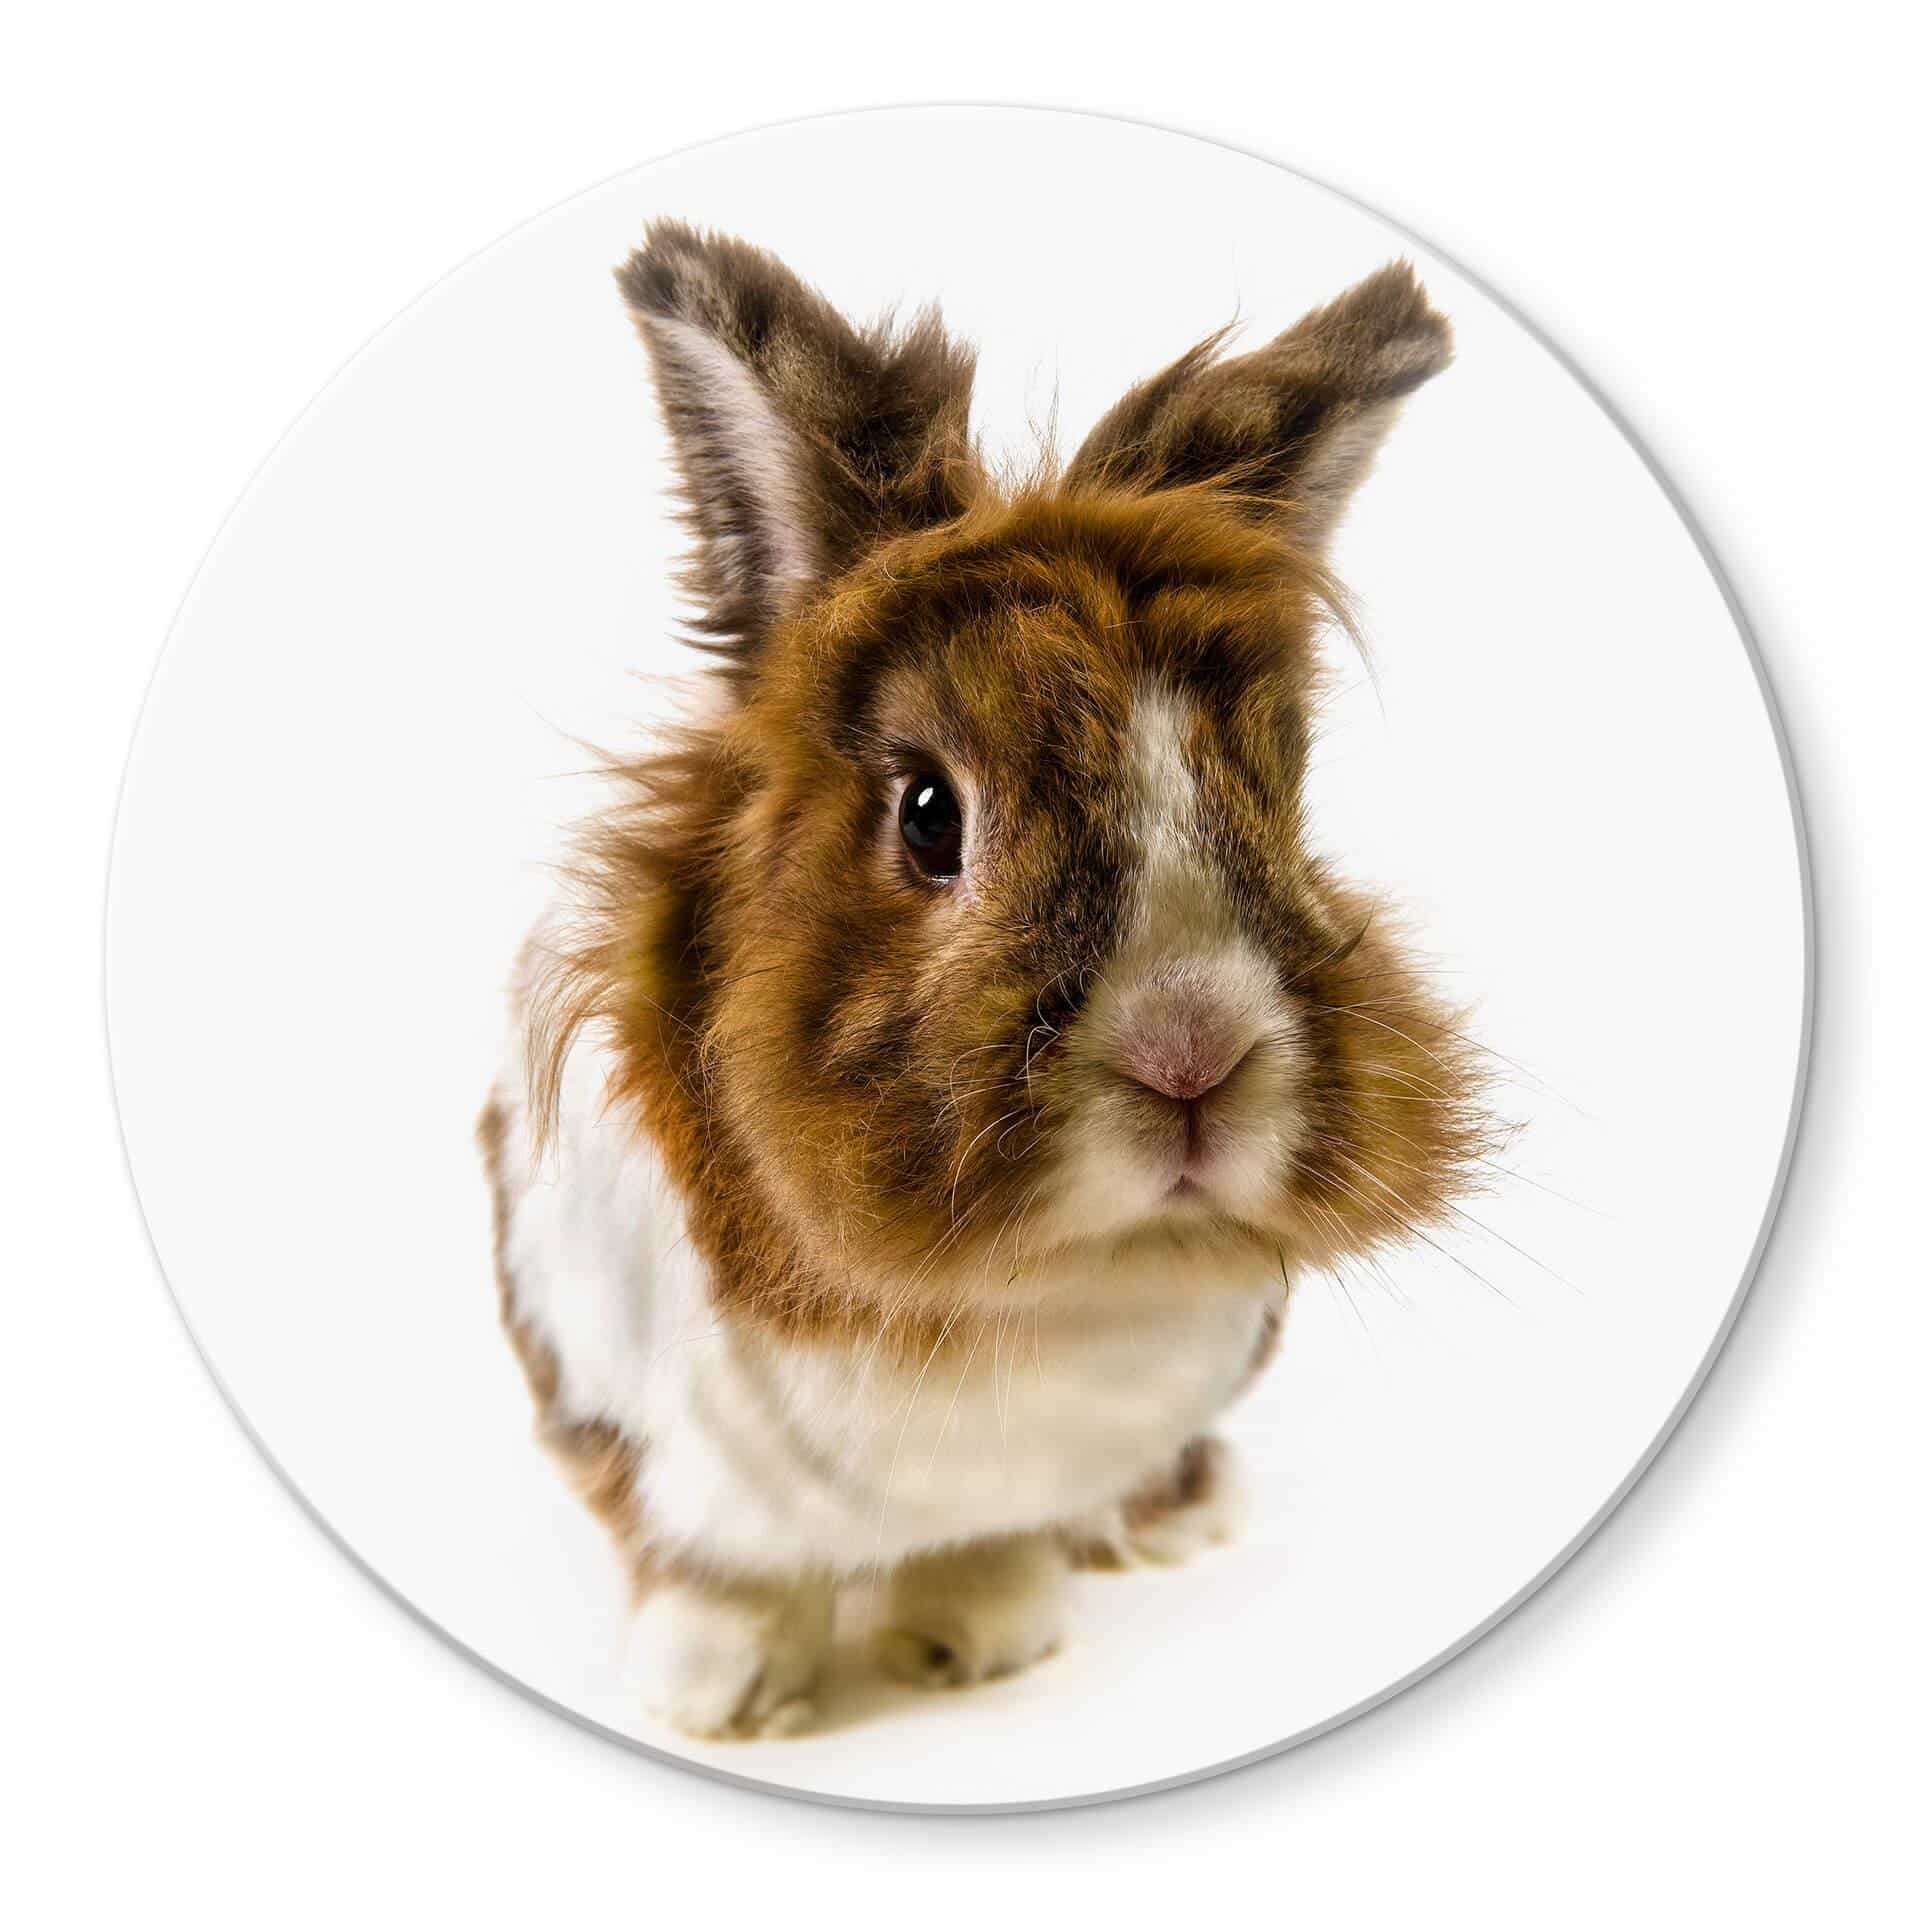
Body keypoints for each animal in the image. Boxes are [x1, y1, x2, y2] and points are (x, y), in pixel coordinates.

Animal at [478, 222, 1488, 1739]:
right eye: (927, 815)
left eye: (1281, 795)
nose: (1191, 1057)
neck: (1007, 1305)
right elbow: (709, 1569)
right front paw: (721, 1699)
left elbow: (991, 1548)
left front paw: (973, 1644)